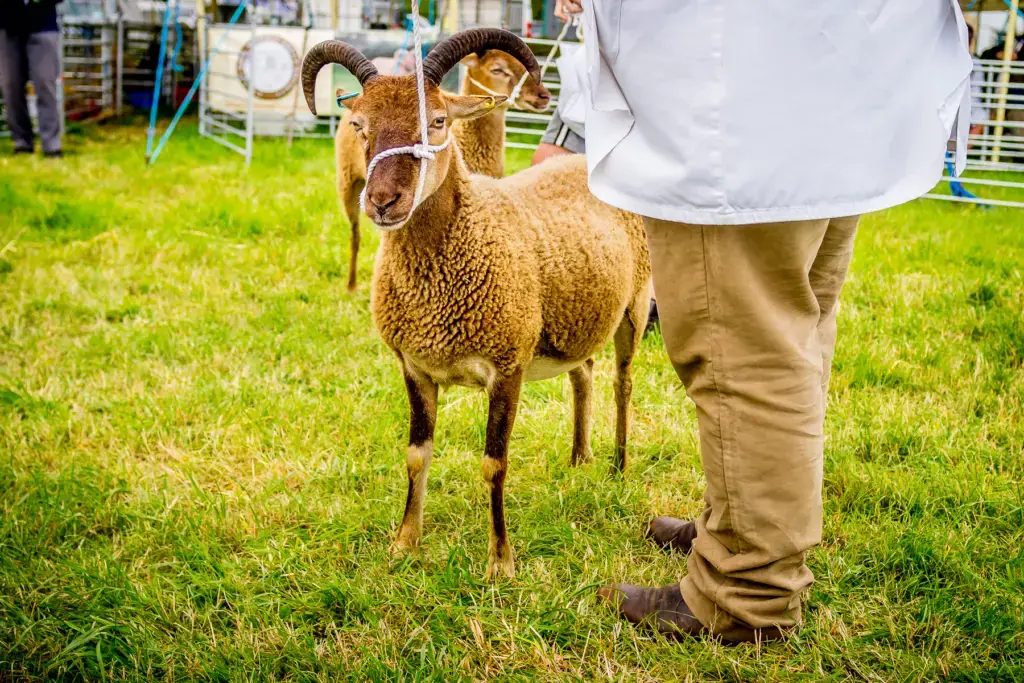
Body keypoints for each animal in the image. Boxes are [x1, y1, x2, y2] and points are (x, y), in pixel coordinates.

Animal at [332, 49, 551, 291]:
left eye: (439, 120)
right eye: (497, 69)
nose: (544, 96)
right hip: (348, 184)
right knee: (355, 234)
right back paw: (351, 286)